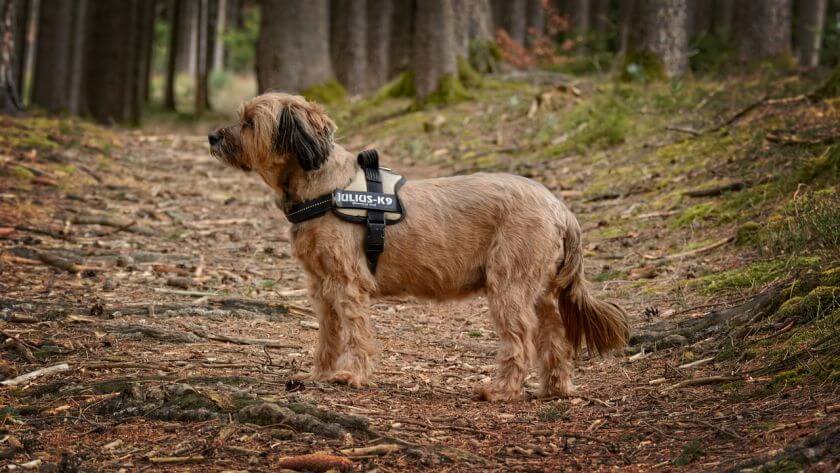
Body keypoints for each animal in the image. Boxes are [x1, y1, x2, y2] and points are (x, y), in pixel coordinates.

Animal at [208, 93, 632, 402]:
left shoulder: (347, 283)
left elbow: (355, 332)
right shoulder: (321, 287)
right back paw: (555, 388)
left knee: (520, 339)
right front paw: (321, 373)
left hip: (508, 284)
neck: (324, 186)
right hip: (539, 287)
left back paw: (502, 391)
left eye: (249, 122)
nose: (213, 136)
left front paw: (351, 376)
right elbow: (328, 334)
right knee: (554, 335)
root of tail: (559, 207)